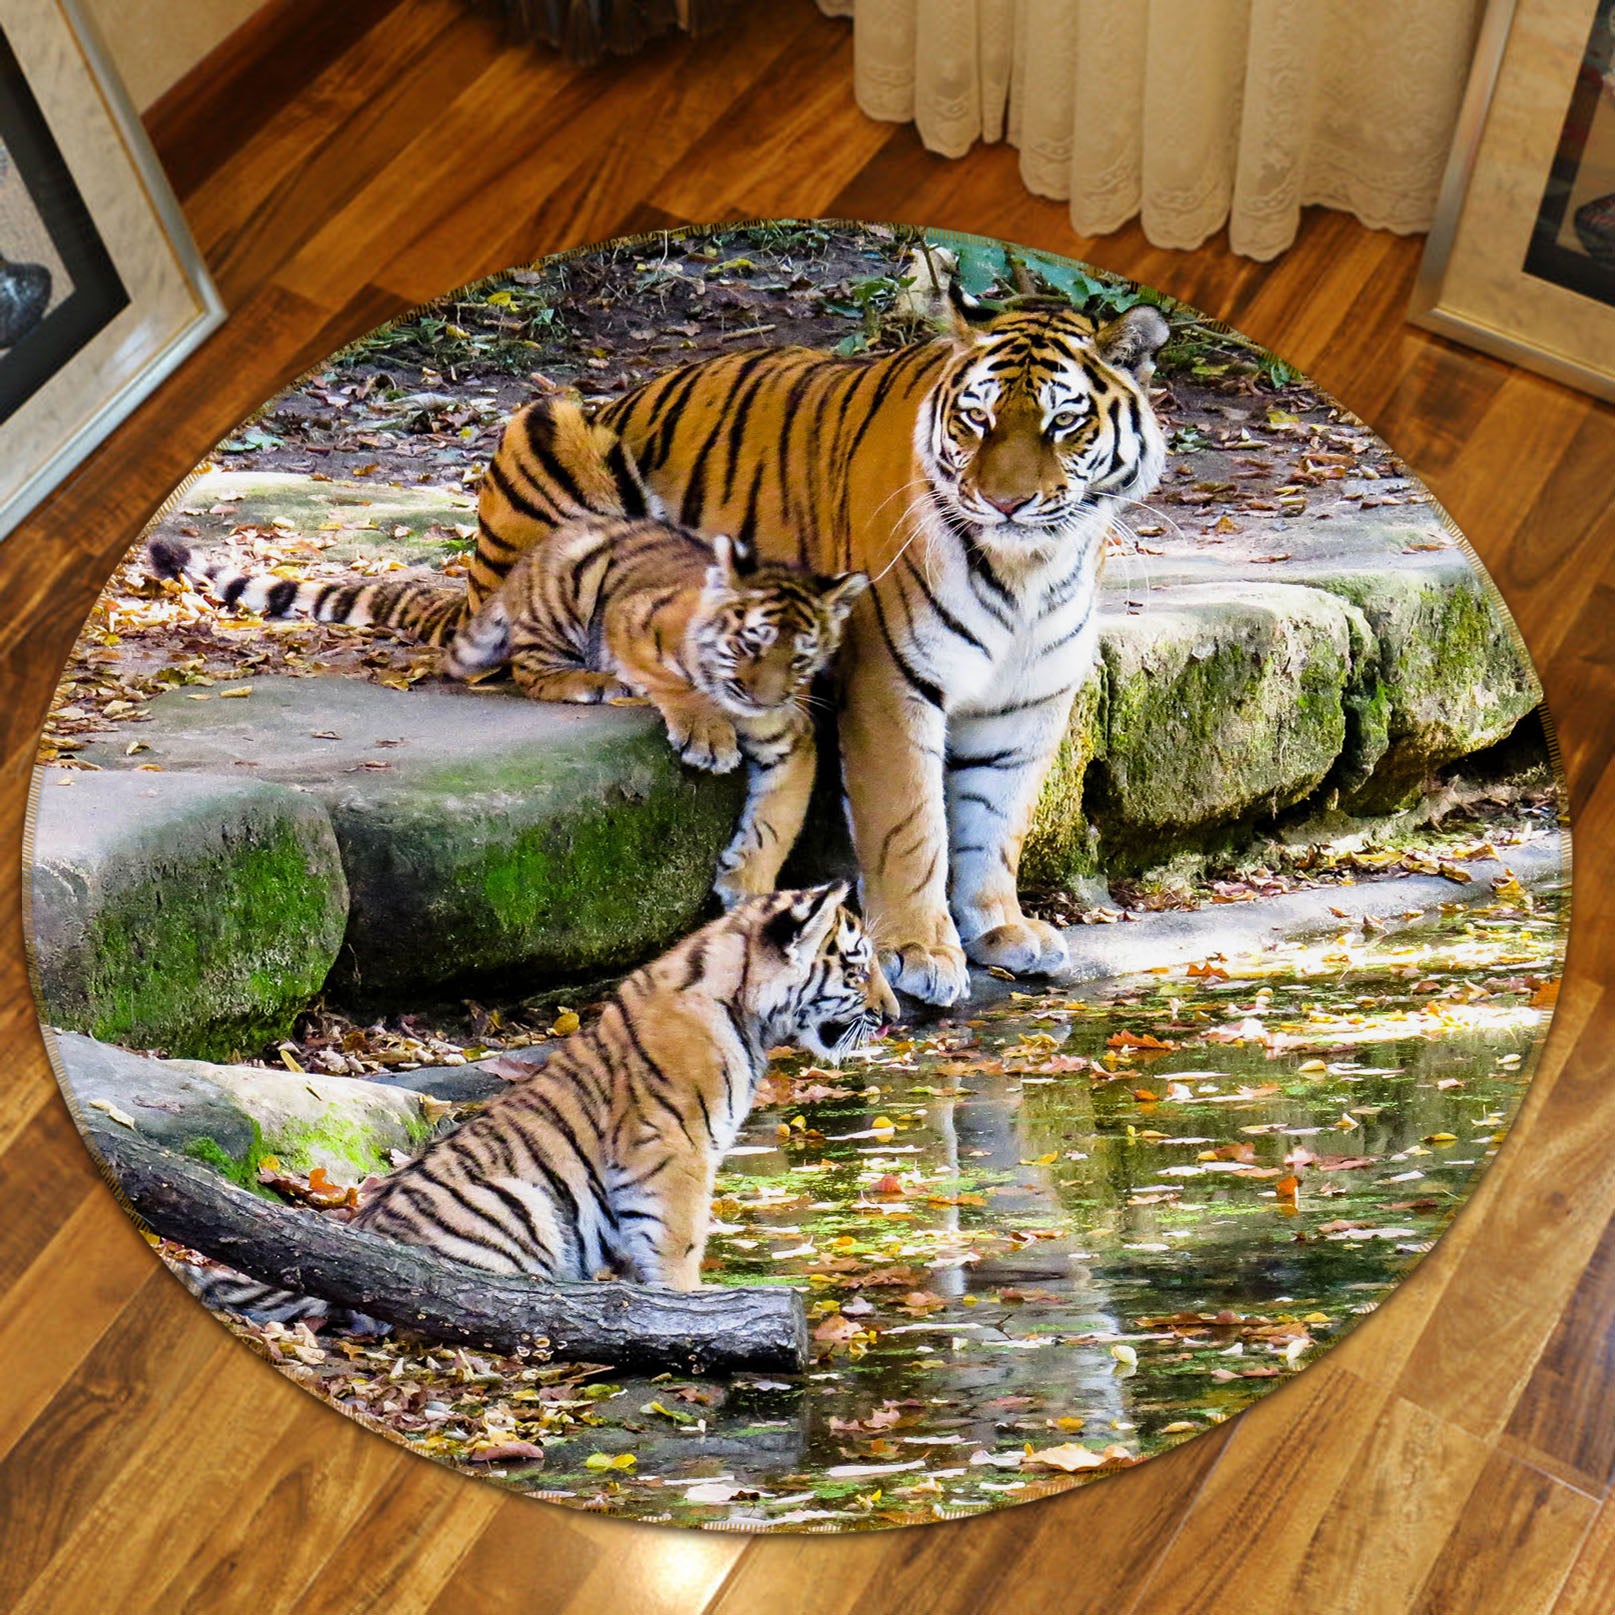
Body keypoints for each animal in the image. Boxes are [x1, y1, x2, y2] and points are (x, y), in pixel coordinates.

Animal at [186, 883, 896, 1325]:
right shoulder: (673, 1151)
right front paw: (689, 1306)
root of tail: (364, 1235)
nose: (895, 1017)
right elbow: (679, 1240)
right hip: (518, 1204)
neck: (745, 1008)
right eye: (857, 968)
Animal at [468, 285, 1171, 1006]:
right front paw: (919, 948)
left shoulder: (1030, 699)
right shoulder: (891, 680)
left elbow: (997, 818)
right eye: (977, 419)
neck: (1029, 569)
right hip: (550, 431)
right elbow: (911, 825)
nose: (1004, 502)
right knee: (540, 646)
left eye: (1063, 422)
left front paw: (1000, 927)